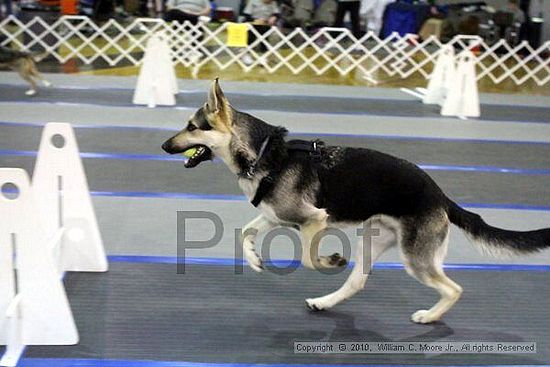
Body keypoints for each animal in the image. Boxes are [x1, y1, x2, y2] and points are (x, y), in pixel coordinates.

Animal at [162, 79, 550, 324]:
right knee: (357, 282)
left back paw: (429, 316)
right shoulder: (276, 217)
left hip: (415, 258)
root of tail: (440, 195)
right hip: (373, 242)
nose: (164, 146)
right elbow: (245, 232)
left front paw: (329, 260)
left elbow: (308, 259)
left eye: (192, 126)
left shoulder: (314, 219)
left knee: (454, 289)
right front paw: (255, 259)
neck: (264, 154)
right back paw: (323, 303)